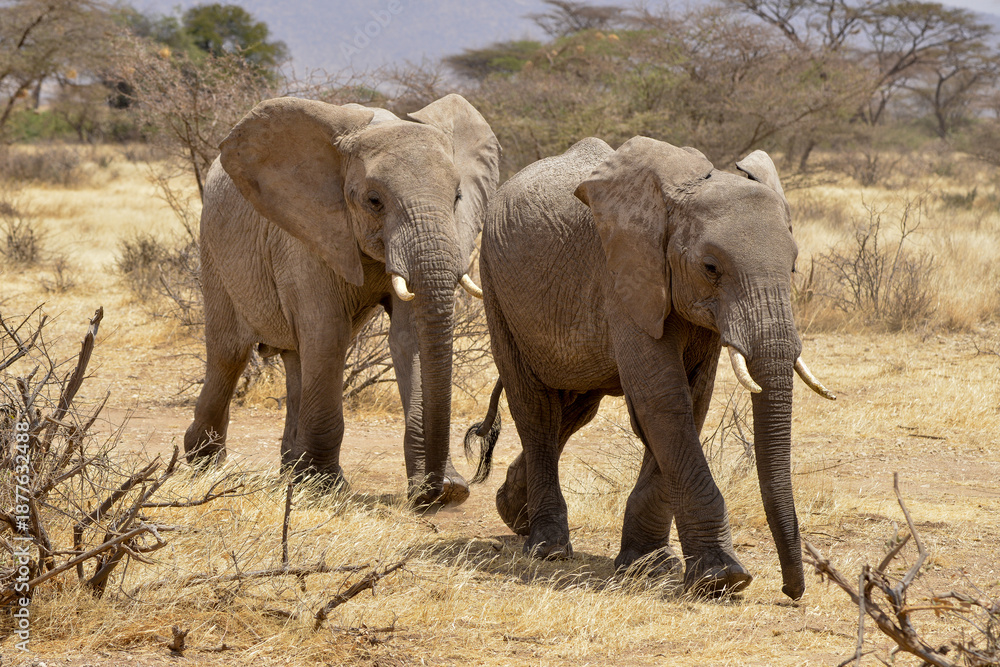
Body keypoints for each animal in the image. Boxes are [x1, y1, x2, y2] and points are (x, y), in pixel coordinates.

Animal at [183, 94, 501, 507]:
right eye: (374, 201)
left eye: (457, 198)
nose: (440, 490)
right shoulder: (305, 234)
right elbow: (328, 333)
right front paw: (325, 489)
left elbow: (408, 338)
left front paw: (444, 491)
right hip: (214, 249)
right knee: (228, 353)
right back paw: (203, 464)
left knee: (296, 359)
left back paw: (291, 472)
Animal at [466, 136, 833, 598]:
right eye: (711, 268)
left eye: (793, 266)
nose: (792, 591)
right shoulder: (623, 279)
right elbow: (663, 401)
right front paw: (722, 579)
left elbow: (690, 401)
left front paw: (649, 566)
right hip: (495, 286)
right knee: (535, 408)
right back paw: (547, 548)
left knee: (573, 411)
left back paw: (512, 512)